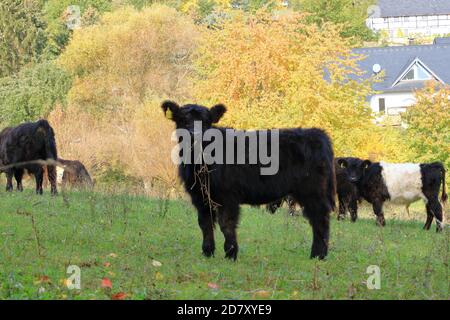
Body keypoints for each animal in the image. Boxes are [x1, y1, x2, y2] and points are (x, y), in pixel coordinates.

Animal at [161, 101, 334, 262]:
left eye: (206, 122)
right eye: (183, 120)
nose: (194, 135)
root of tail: (317, 133)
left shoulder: (228, 196)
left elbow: (226, 224)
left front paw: (231, 254)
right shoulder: (200, 196)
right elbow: (205, 224)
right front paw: (207, 253)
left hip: (312, 191)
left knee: (320, 219)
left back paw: (318, 255)